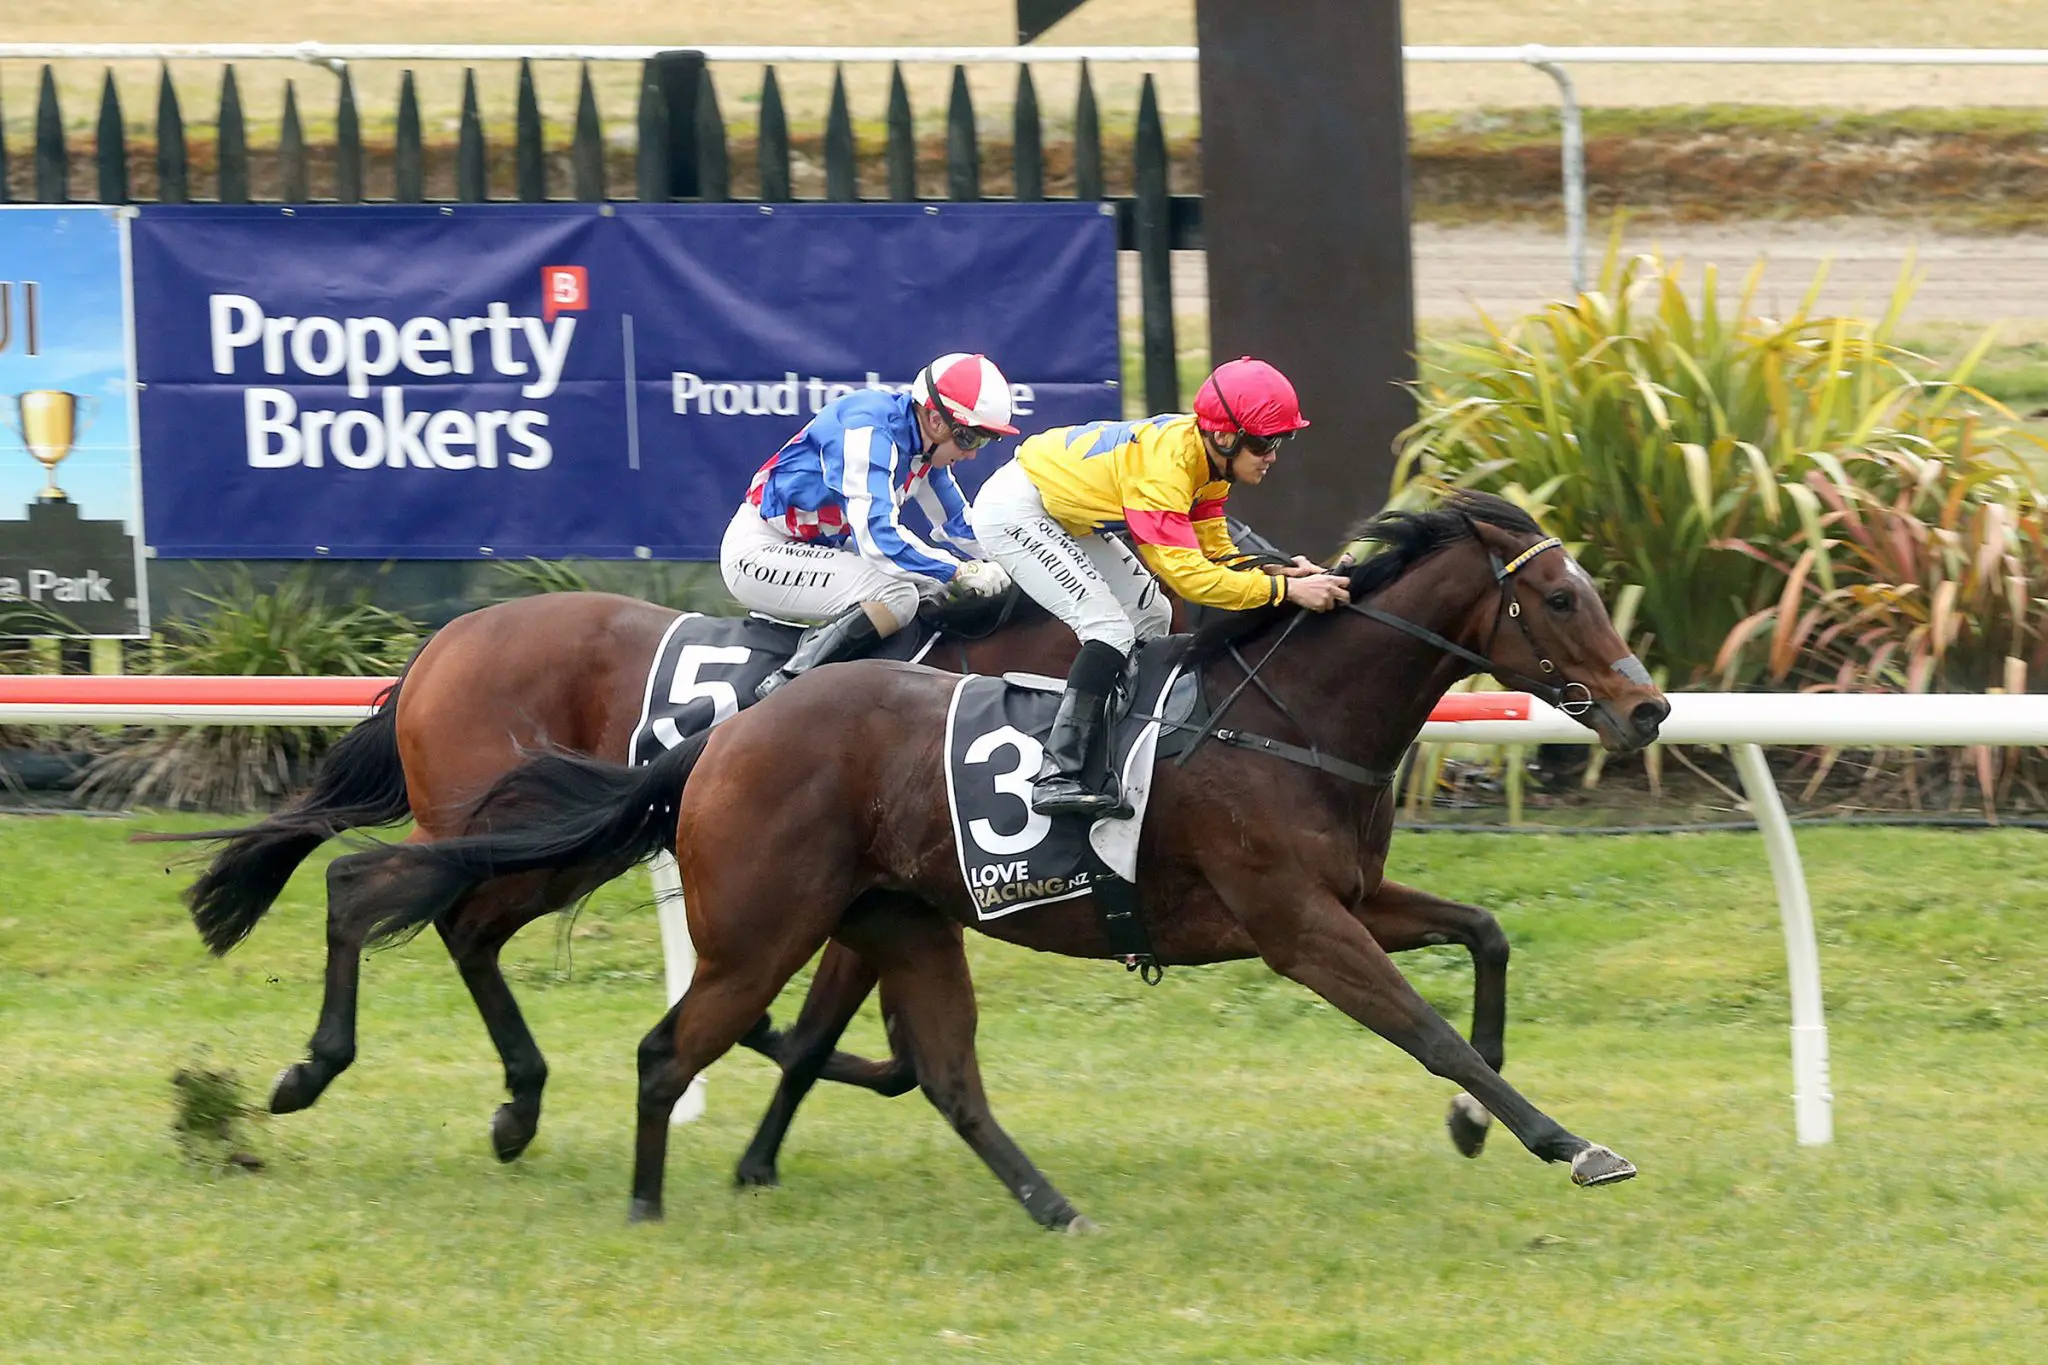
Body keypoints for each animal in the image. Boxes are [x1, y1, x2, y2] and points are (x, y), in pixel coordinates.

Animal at [344, 497, 1671, 1236]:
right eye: (1561, 598)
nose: (1647, 708)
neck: (1279, 716)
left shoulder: (1347, 900)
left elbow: (1483, 935)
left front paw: (1472, 1124)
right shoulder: (1296, 927)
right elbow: (1426, 1028)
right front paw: (1562, 1142)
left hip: (884, 914)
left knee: (942, 1075)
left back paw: (1049, 1208)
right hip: (744, 912)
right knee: (584, 998)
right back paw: (593, 1167)